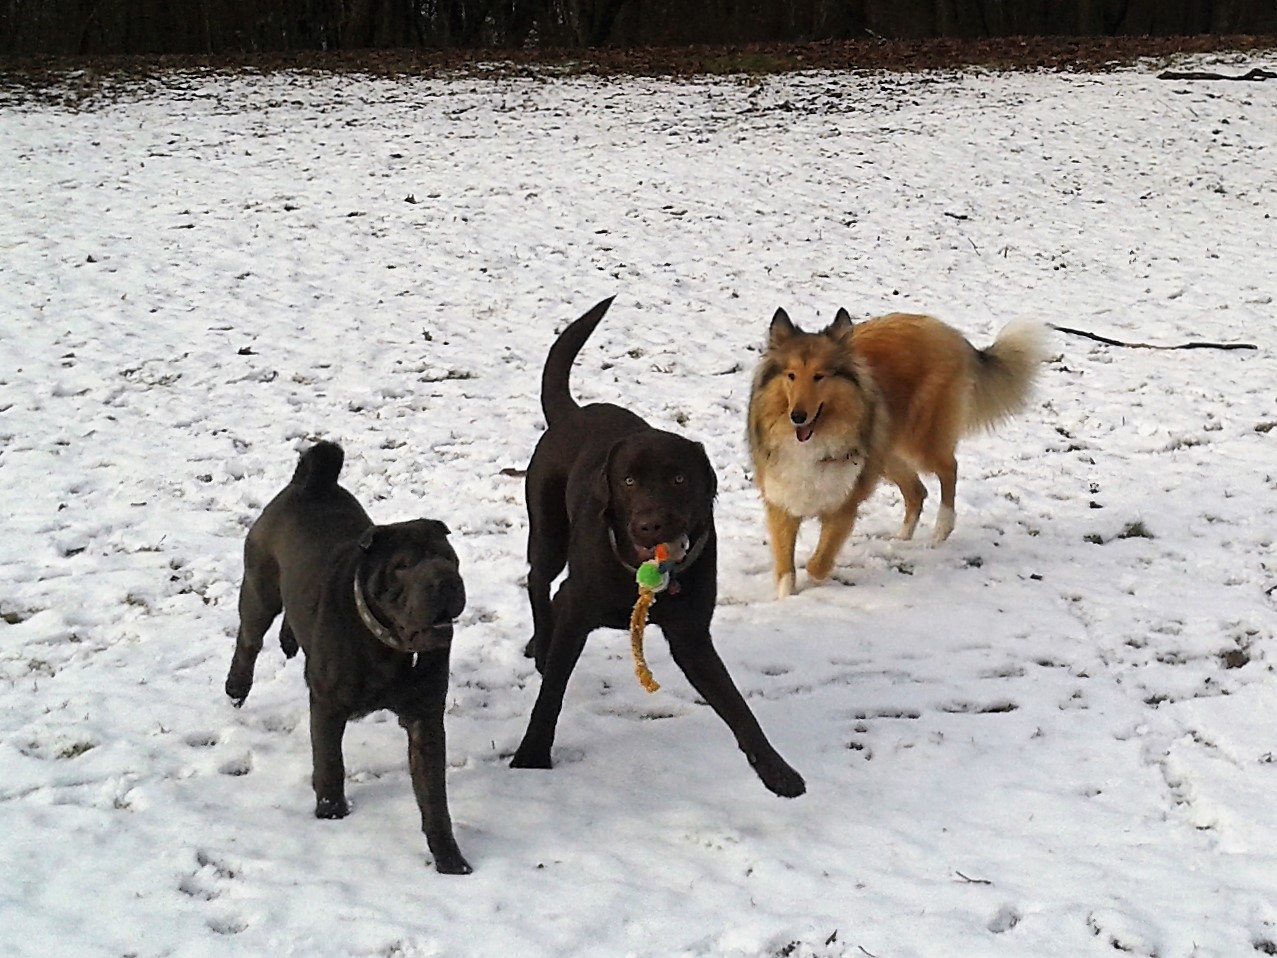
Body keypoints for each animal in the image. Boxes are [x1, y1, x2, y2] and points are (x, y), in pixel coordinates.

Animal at [226, 441, 475, 878]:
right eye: (403, 565)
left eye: (448, 557)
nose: (446, 580)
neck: (388, 648)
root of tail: (312, 482)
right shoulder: (327, 705)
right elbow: (330, 761)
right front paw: (331, 812)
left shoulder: (425, 718)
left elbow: (434, 796)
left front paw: (449, 858)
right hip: (259, 590)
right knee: (248, 641)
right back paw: (236, 687)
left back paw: (290, 640)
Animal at [510, 296, 801, 797]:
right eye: (628, 481)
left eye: (679, 479)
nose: (650, 525)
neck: (643, 575)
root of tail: (572, 413)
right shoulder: (577, 612)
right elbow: (551, 695)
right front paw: (531, 756)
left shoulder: (691, 636)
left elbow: (736, 706)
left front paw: (775, 770)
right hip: (548, 533)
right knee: (538, 581)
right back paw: (540, 643)